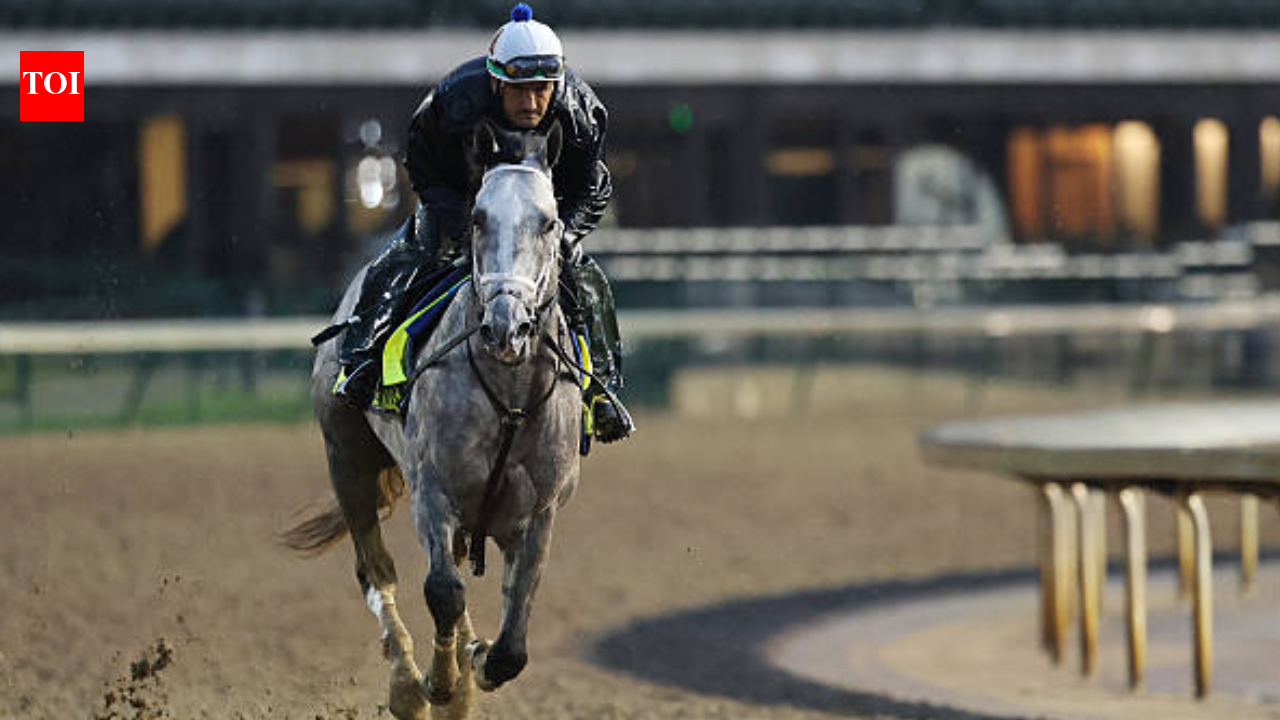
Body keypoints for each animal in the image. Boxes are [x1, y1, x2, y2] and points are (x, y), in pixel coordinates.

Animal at [284, 122, 582, 720]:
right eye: (478, 218)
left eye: (549, 221)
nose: (505, 326)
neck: (509, 397)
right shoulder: (434, 489)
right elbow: (442, 591)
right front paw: (442, 684)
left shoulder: (538, 510)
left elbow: (513, 637)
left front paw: (479, 660)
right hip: (347, 458)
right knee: (376, 571)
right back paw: (406, 682)